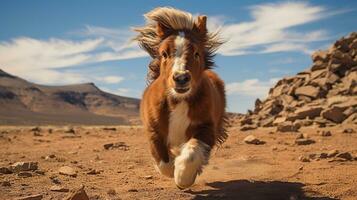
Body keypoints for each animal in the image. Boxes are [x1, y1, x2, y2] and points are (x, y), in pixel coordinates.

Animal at [134, 7, 228, 189]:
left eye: (197, 53)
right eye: (164, 53)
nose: (181, 78)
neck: (179, 100)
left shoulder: (207, 127)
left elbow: (191, 154)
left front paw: (183, 176)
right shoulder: (153, 131)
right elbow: (163, 161)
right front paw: (173, 169)